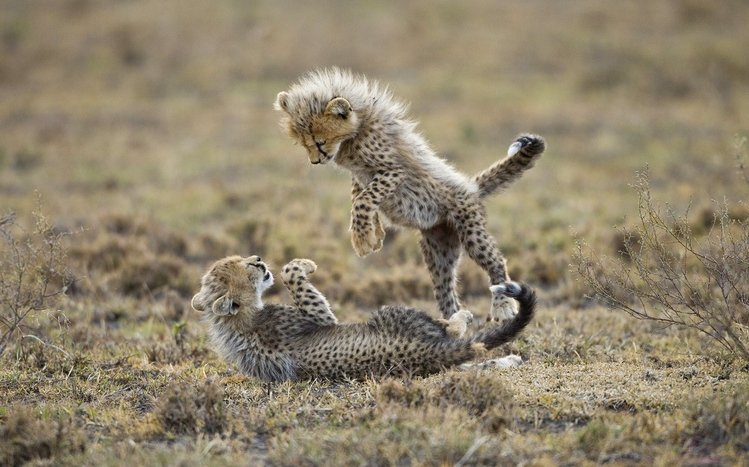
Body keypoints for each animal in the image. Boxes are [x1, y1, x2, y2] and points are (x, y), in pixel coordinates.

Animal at [190, 255, 536, 382]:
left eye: (242, 259)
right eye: (247, 266)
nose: (259, 260)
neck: (239, 321)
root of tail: (421, 354)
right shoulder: (320, 318)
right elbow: (292, 275)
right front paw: (305, 265)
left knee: (472, 362)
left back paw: (510, 360)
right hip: (392, 313)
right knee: (454, 333)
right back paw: (460, 315)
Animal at [275, 67, 545, 322]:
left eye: (319, 142)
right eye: (303, 143)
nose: (315, 161)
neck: (358, 129)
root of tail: (470, 186)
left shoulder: (394, 171)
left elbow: (364, 199)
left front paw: (362, 240)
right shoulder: (361, 175)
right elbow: (359, 195)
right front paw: (374, 234)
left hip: (471, 231)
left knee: (496, 263)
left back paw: (502, 306)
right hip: (439, 252)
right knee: (446, 292)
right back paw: (452, 323)